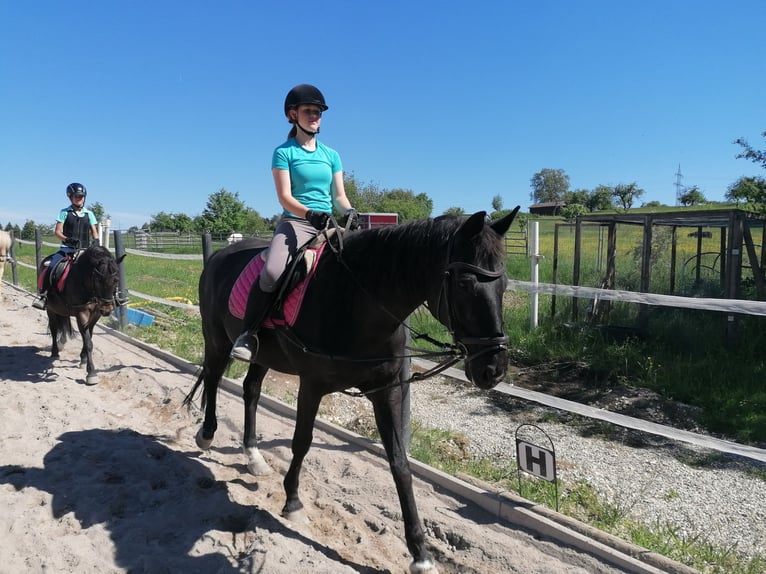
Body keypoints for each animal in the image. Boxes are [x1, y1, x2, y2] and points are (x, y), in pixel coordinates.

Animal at [43, 244, 126, 385]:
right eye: (98, 280)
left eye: (116, 280)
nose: (107, 309)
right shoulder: (81, 314)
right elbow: (88, 343)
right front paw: (91, 373)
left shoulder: (95, 315)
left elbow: (89, 337)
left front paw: (83, 360)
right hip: (51, 309)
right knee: (54, 330)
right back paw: (55, 352)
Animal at [184, 208, 519, 574]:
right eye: (465, 283)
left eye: (504, 284)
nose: (493, 369)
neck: (357, 303)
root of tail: (219, 255)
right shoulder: (312, 384)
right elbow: (301, 442)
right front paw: (293, 502)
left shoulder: (386, 392)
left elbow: (400, 463)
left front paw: (420, 553)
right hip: (217, 339)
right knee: (213, 379)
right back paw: (206, 435)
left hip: (263, 355)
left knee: (251, 391)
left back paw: (254, 456)